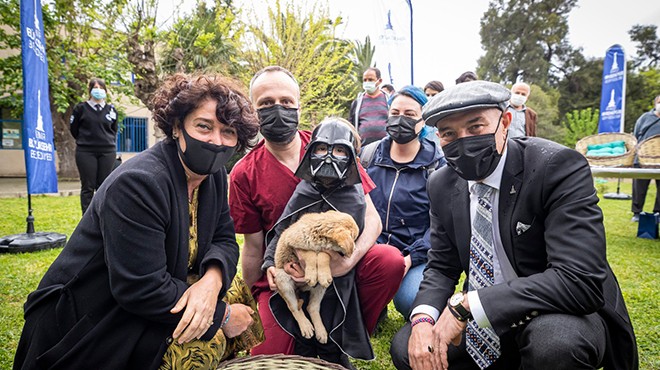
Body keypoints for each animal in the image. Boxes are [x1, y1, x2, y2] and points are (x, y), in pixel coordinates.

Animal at [274, 211, 360, 344]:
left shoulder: (327, 251)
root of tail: (301, 288)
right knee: (294, 308)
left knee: (311, 307)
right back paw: (306, 327)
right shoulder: (295, 245)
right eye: (354, 238)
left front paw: (322, 274)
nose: (355, 250)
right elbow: (310, 254)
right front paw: (311, 274)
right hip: (283, 280)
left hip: (320, 288)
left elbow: (323, 255)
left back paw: (321, 332)